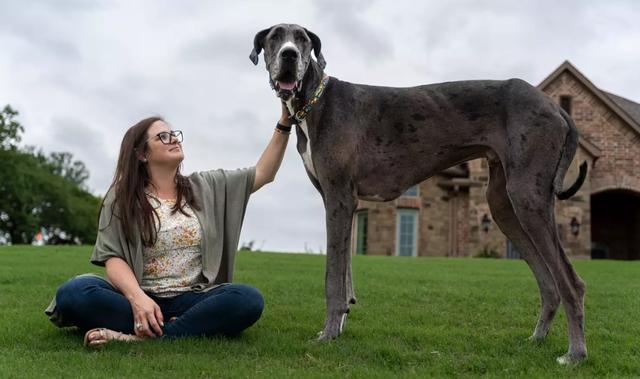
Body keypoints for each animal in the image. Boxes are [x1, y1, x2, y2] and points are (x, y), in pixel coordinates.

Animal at [250, 23, 592, 366]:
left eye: (303, 39)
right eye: (275, 38)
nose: (289, 55)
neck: (315, 102)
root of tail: (555, 106)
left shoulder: (339, 198)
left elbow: (333, 278)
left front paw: (328, 334)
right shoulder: (342, 203)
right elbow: (345, 272)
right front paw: (340, 325)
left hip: (527, 197)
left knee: (571, 282)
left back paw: (575, 353)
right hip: (503, 205)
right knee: (549, 282)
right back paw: (537, 339)